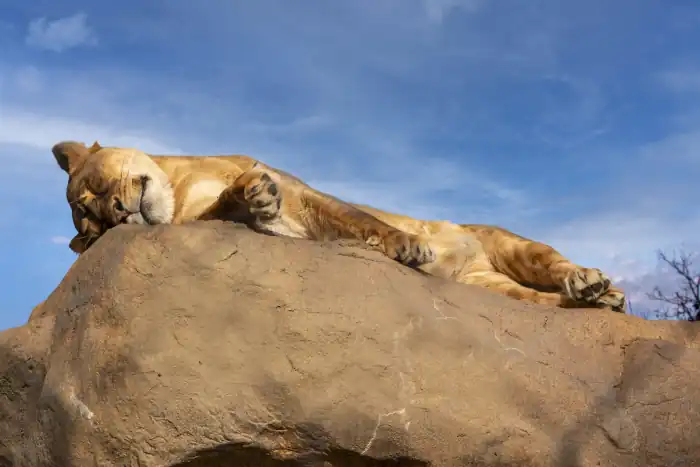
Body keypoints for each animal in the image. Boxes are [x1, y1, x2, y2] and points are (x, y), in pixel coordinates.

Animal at [51, 140, 626, 312]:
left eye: (95, 189)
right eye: (97, 227)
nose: (120, 213)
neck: (180, 186)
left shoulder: (303, 194)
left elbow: (360, 218)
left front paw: (409, 244)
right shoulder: (285, 230)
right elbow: (232, 212)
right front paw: (252, 200)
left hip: (511, 244)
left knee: (554, 264)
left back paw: (594, 283)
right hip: (496, 288)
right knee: (544, 301)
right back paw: (596, 298)